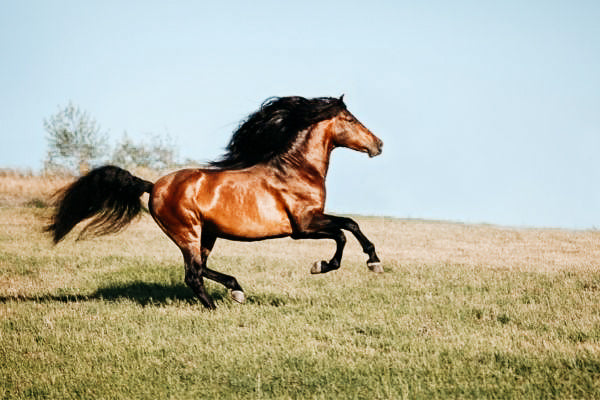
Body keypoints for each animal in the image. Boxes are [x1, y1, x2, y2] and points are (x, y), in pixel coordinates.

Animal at [47, 96, 384, 310]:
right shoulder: (303, 226)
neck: (296, 170)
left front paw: (368, 261)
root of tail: (154, 186)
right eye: (351, 119)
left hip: (207, 234)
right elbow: (345, 230)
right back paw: (215, 307)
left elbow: (348, 226)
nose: (378, 144)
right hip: (188, 232)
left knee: (201, 268)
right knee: (193, 274)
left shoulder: (312, 222)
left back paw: (236, 290)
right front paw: (341, 264)